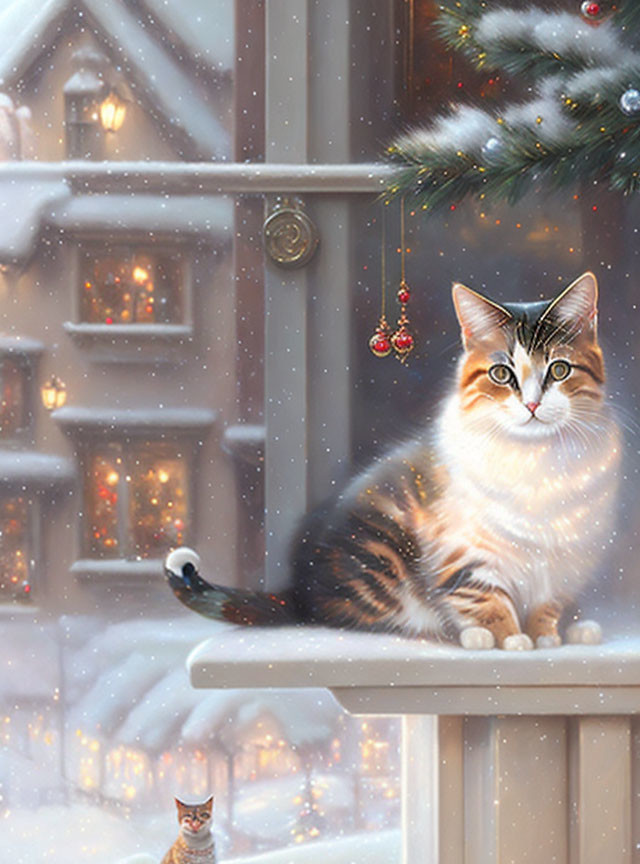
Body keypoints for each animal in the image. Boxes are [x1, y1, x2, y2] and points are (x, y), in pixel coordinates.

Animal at [165, 270, 620, 648]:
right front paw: (509, 637)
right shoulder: (460, 545)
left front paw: (546, 632)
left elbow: (550, 600)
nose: (532, 404)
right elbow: (482, 594)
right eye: (501, 375)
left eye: (559, 370)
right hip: (380, 554)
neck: (537, 463)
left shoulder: (567, 555)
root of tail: (300, 591)